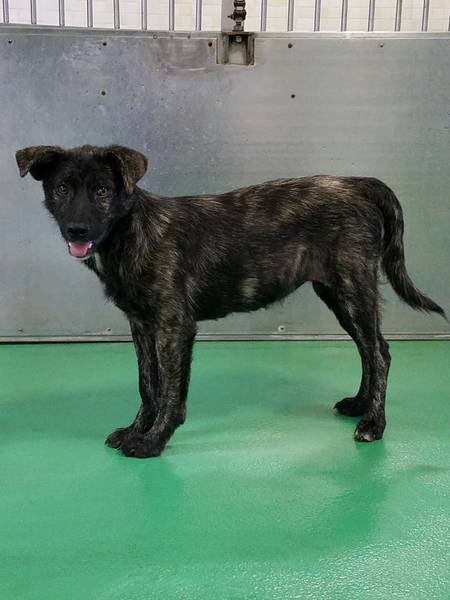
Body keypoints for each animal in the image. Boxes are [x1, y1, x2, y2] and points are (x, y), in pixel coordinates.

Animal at [16, 145, 445, 458]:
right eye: (61, 189)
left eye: (102, 191)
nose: (77, 230)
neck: (133, 232)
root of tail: (357, 183)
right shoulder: (142, 326)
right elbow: (147, 384)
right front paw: (136, 429)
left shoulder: (174, 326)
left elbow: (169, 391)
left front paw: (153, 440)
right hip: (337, 294)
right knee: (369, 351)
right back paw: (359, 404)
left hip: (353, 288)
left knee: (380, 353)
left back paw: (373, 423)